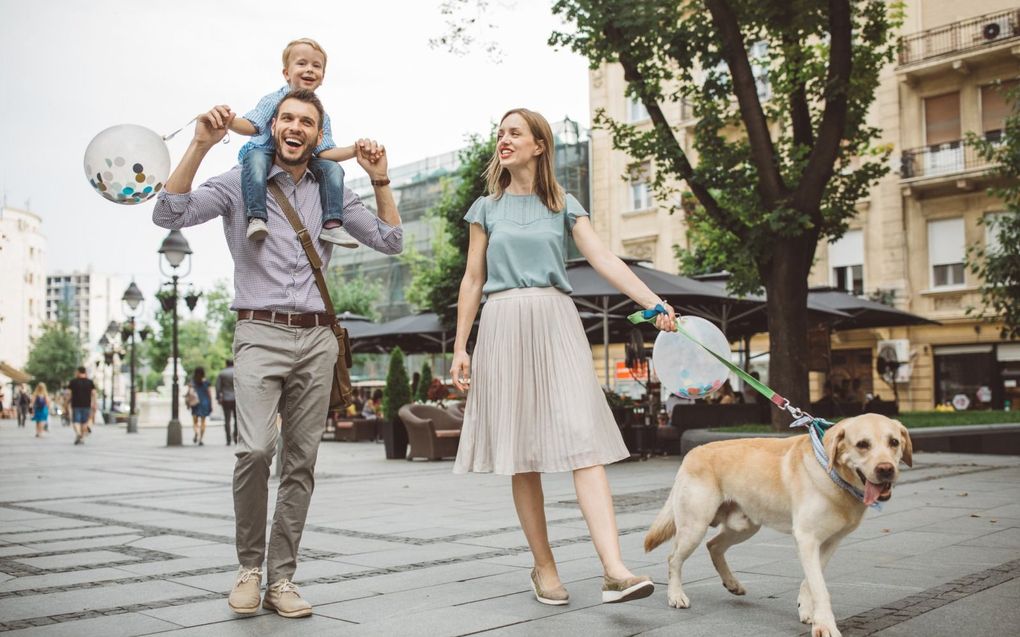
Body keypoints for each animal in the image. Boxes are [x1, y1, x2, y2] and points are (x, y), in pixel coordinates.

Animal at [644, 411, 909, 635]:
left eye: (894, 442)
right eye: (862, 444)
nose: (886, 469)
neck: (832, 474)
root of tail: (692, 452)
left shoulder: (830, 542)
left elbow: (811, 580)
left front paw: (806, 609)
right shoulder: (806, 538)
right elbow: (820, 587)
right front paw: (825, 625)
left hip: (745, 525)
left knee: (714, 545)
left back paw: (732, 583)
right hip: (695, 526)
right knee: (674, 559)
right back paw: (676, 595)